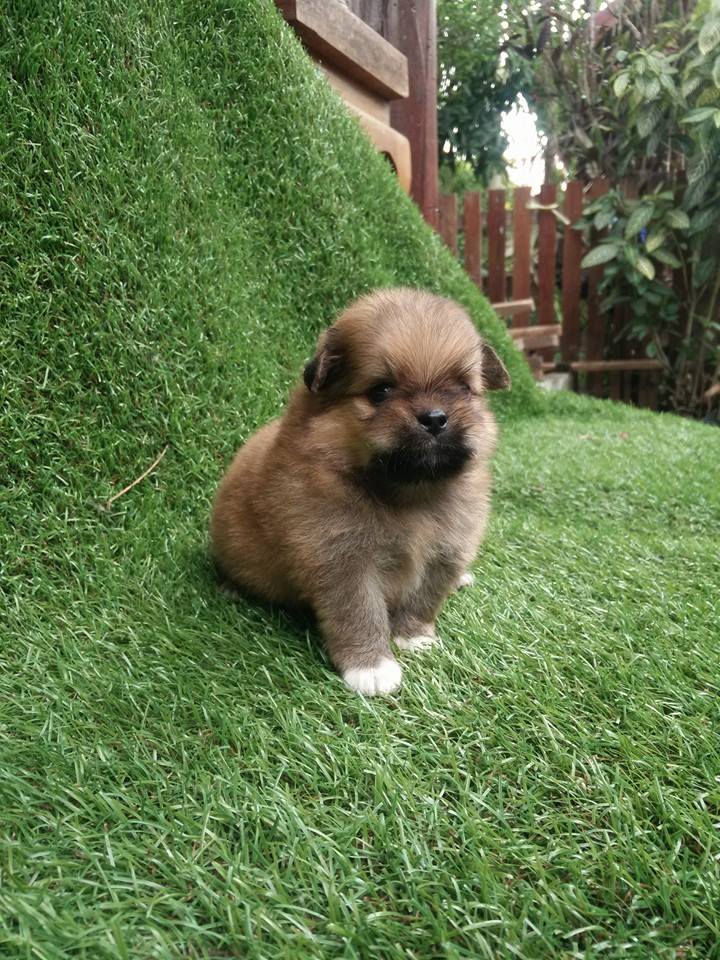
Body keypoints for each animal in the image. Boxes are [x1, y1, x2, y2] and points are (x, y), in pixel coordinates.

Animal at [210, 288, 510, 695]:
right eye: (380, 391)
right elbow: (359, 612)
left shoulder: (446, 551)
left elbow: (424, 598)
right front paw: (370, 667)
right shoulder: (342, 561)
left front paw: (414, 636)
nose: (435, 418)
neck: (409, 495)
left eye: (462, 388)